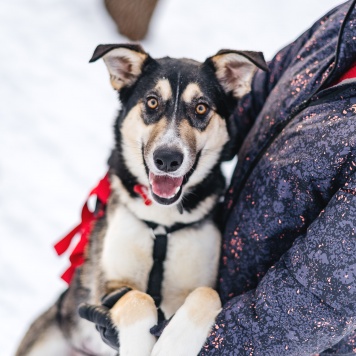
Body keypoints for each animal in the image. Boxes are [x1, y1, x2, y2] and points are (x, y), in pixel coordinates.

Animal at [16, 44, 268, 356]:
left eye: (201, 108)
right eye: (151, 102)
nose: (168, 158)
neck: (162, 224)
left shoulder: (201, 283)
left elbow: (207, 294)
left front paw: (173, 345)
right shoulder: (109, 285)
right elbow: (138, 299)